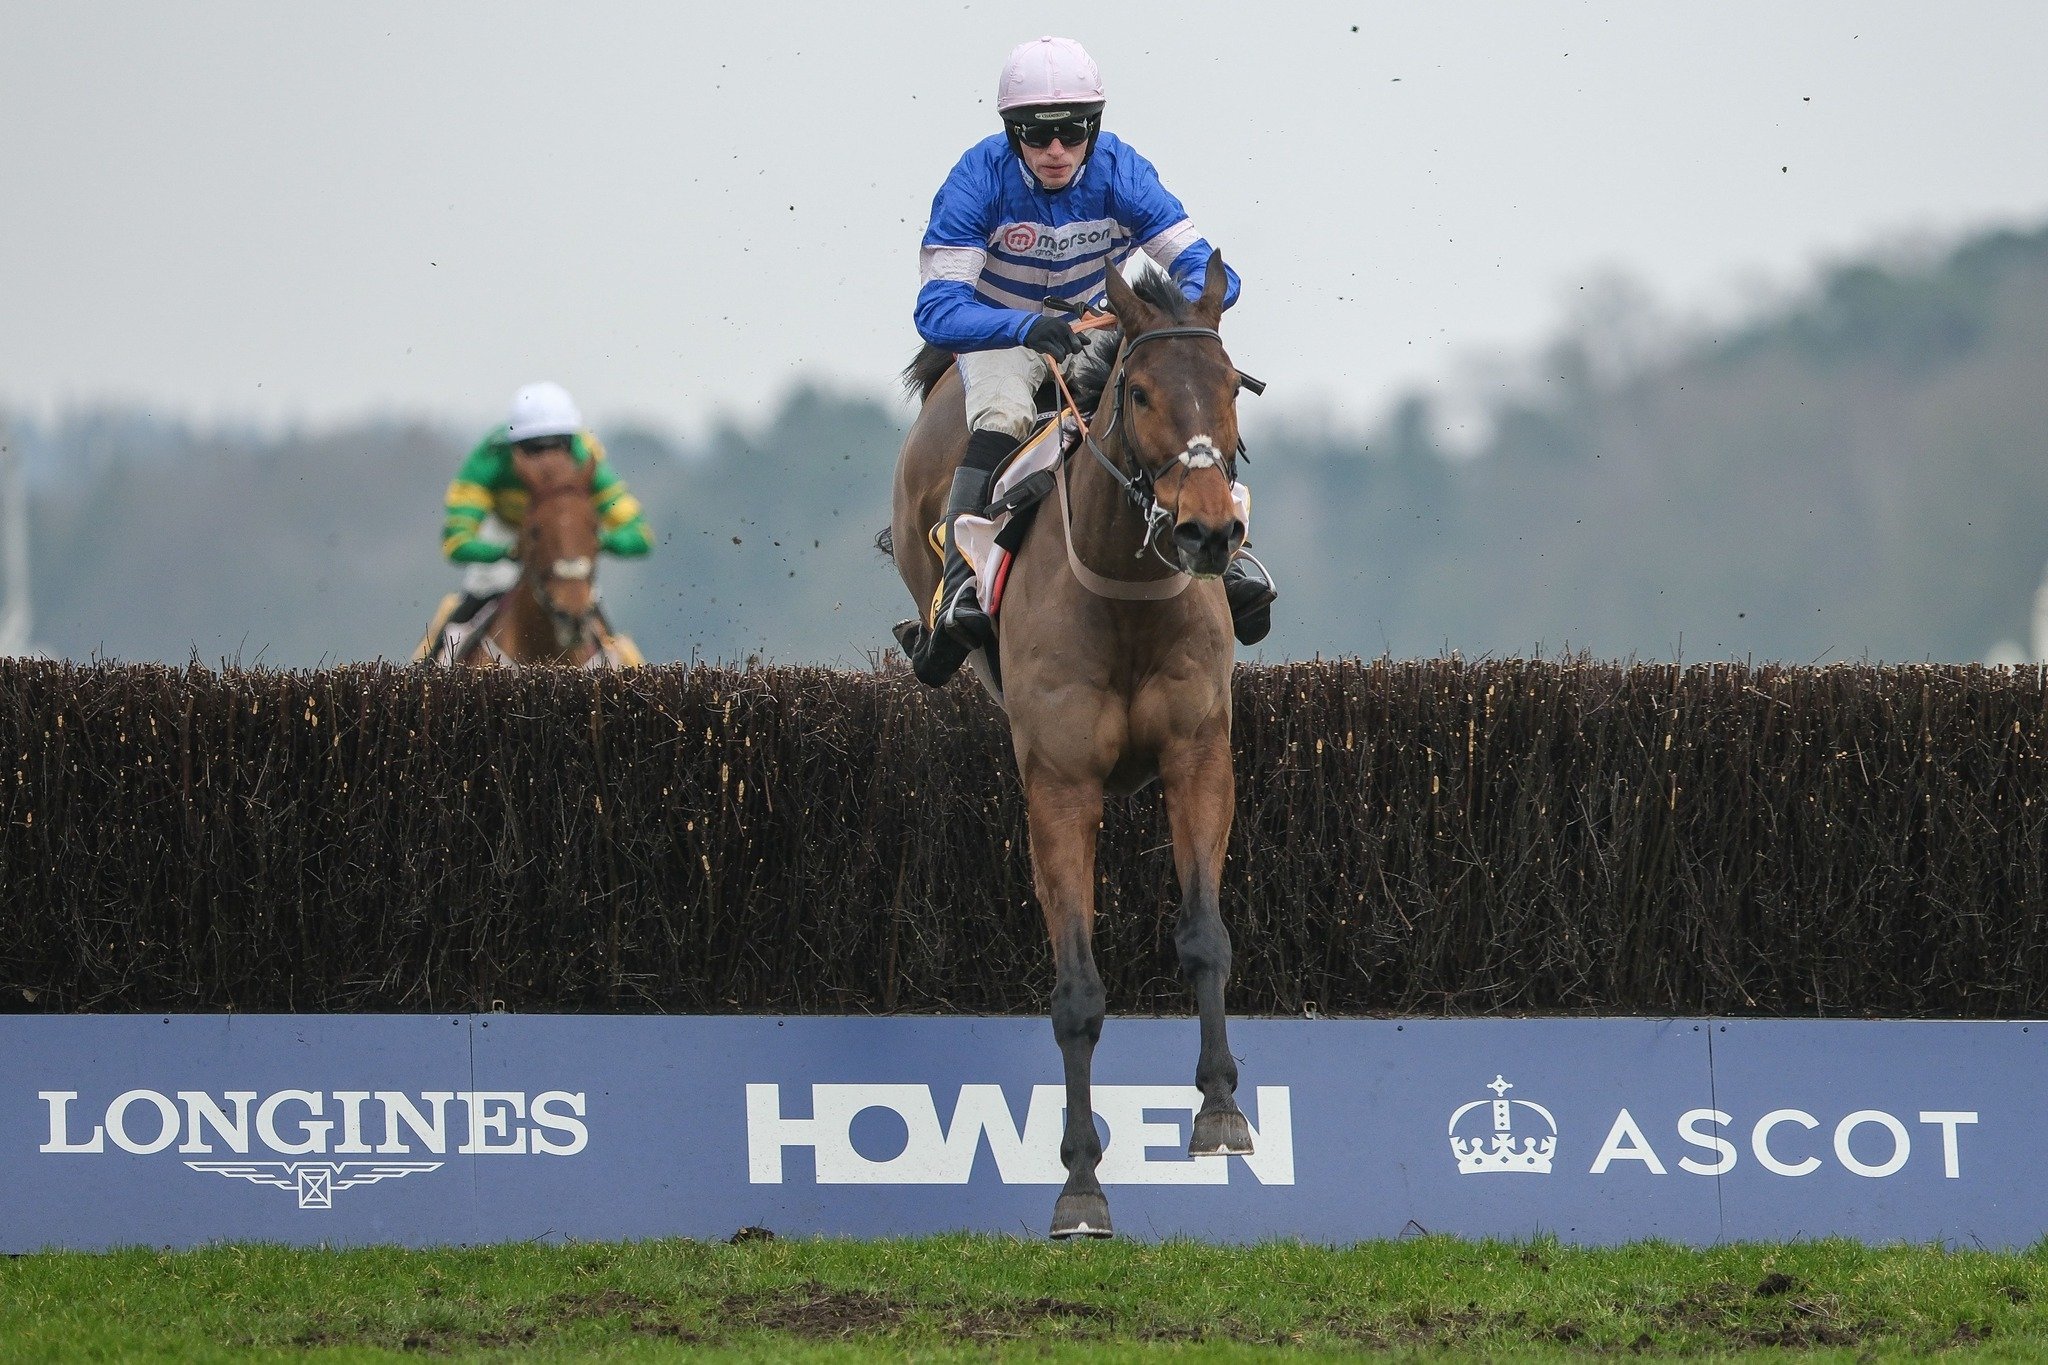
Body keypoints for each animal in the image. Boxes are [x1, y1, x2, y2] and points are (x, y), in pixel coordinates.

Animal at [892, 255, 1245, 1236]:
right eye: (1142, 391)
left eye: (1231, 385)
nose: (1208, 531)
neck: (1123, 592)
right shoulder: (1058, 783)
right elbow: (1077, 991)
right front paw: (1081, 1183)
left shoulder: (1199, 755)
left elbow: (1204, 936)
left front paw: (1220, 1111)